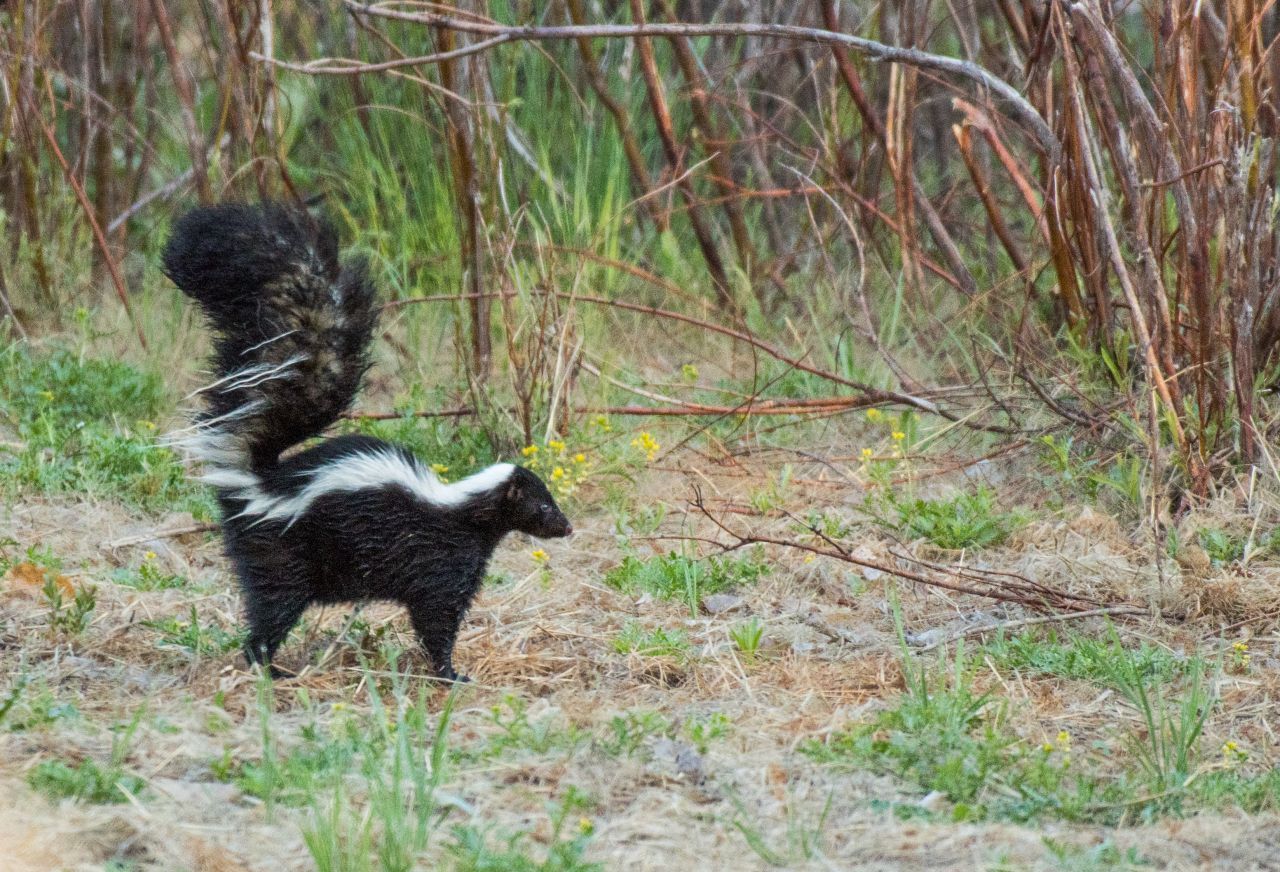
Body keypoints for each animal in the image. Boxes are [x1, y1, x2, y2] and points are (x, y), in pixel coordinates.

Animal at [163, 202, 570, 681]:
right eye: (543, 506)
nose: (567, 526)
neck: (463, 509)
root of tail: (260, 479)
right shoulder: (442, 565)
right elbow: (436, 618)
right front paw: (450, 673)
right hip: (284, 556)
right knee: (272, 609)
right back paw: (270, 668)